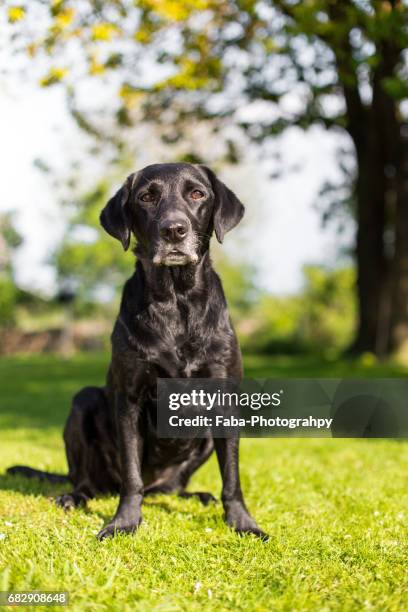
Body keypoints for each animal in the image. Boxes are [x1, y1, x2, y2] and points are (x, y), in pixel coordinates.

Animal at [8, 163, 268, 540]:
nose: (174, 229)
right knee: (90, 481)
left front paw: (242, 522)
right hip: (84, 402)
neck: (176, 302)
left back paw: (196, 495)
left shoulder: (224, 400)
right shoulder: (130, 399)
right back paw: (74, 496)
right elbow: (131, 474)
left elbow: (231, 476)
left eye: (197, 194)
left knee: (171, 488)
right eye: (147, 197)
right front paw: (124, 522)